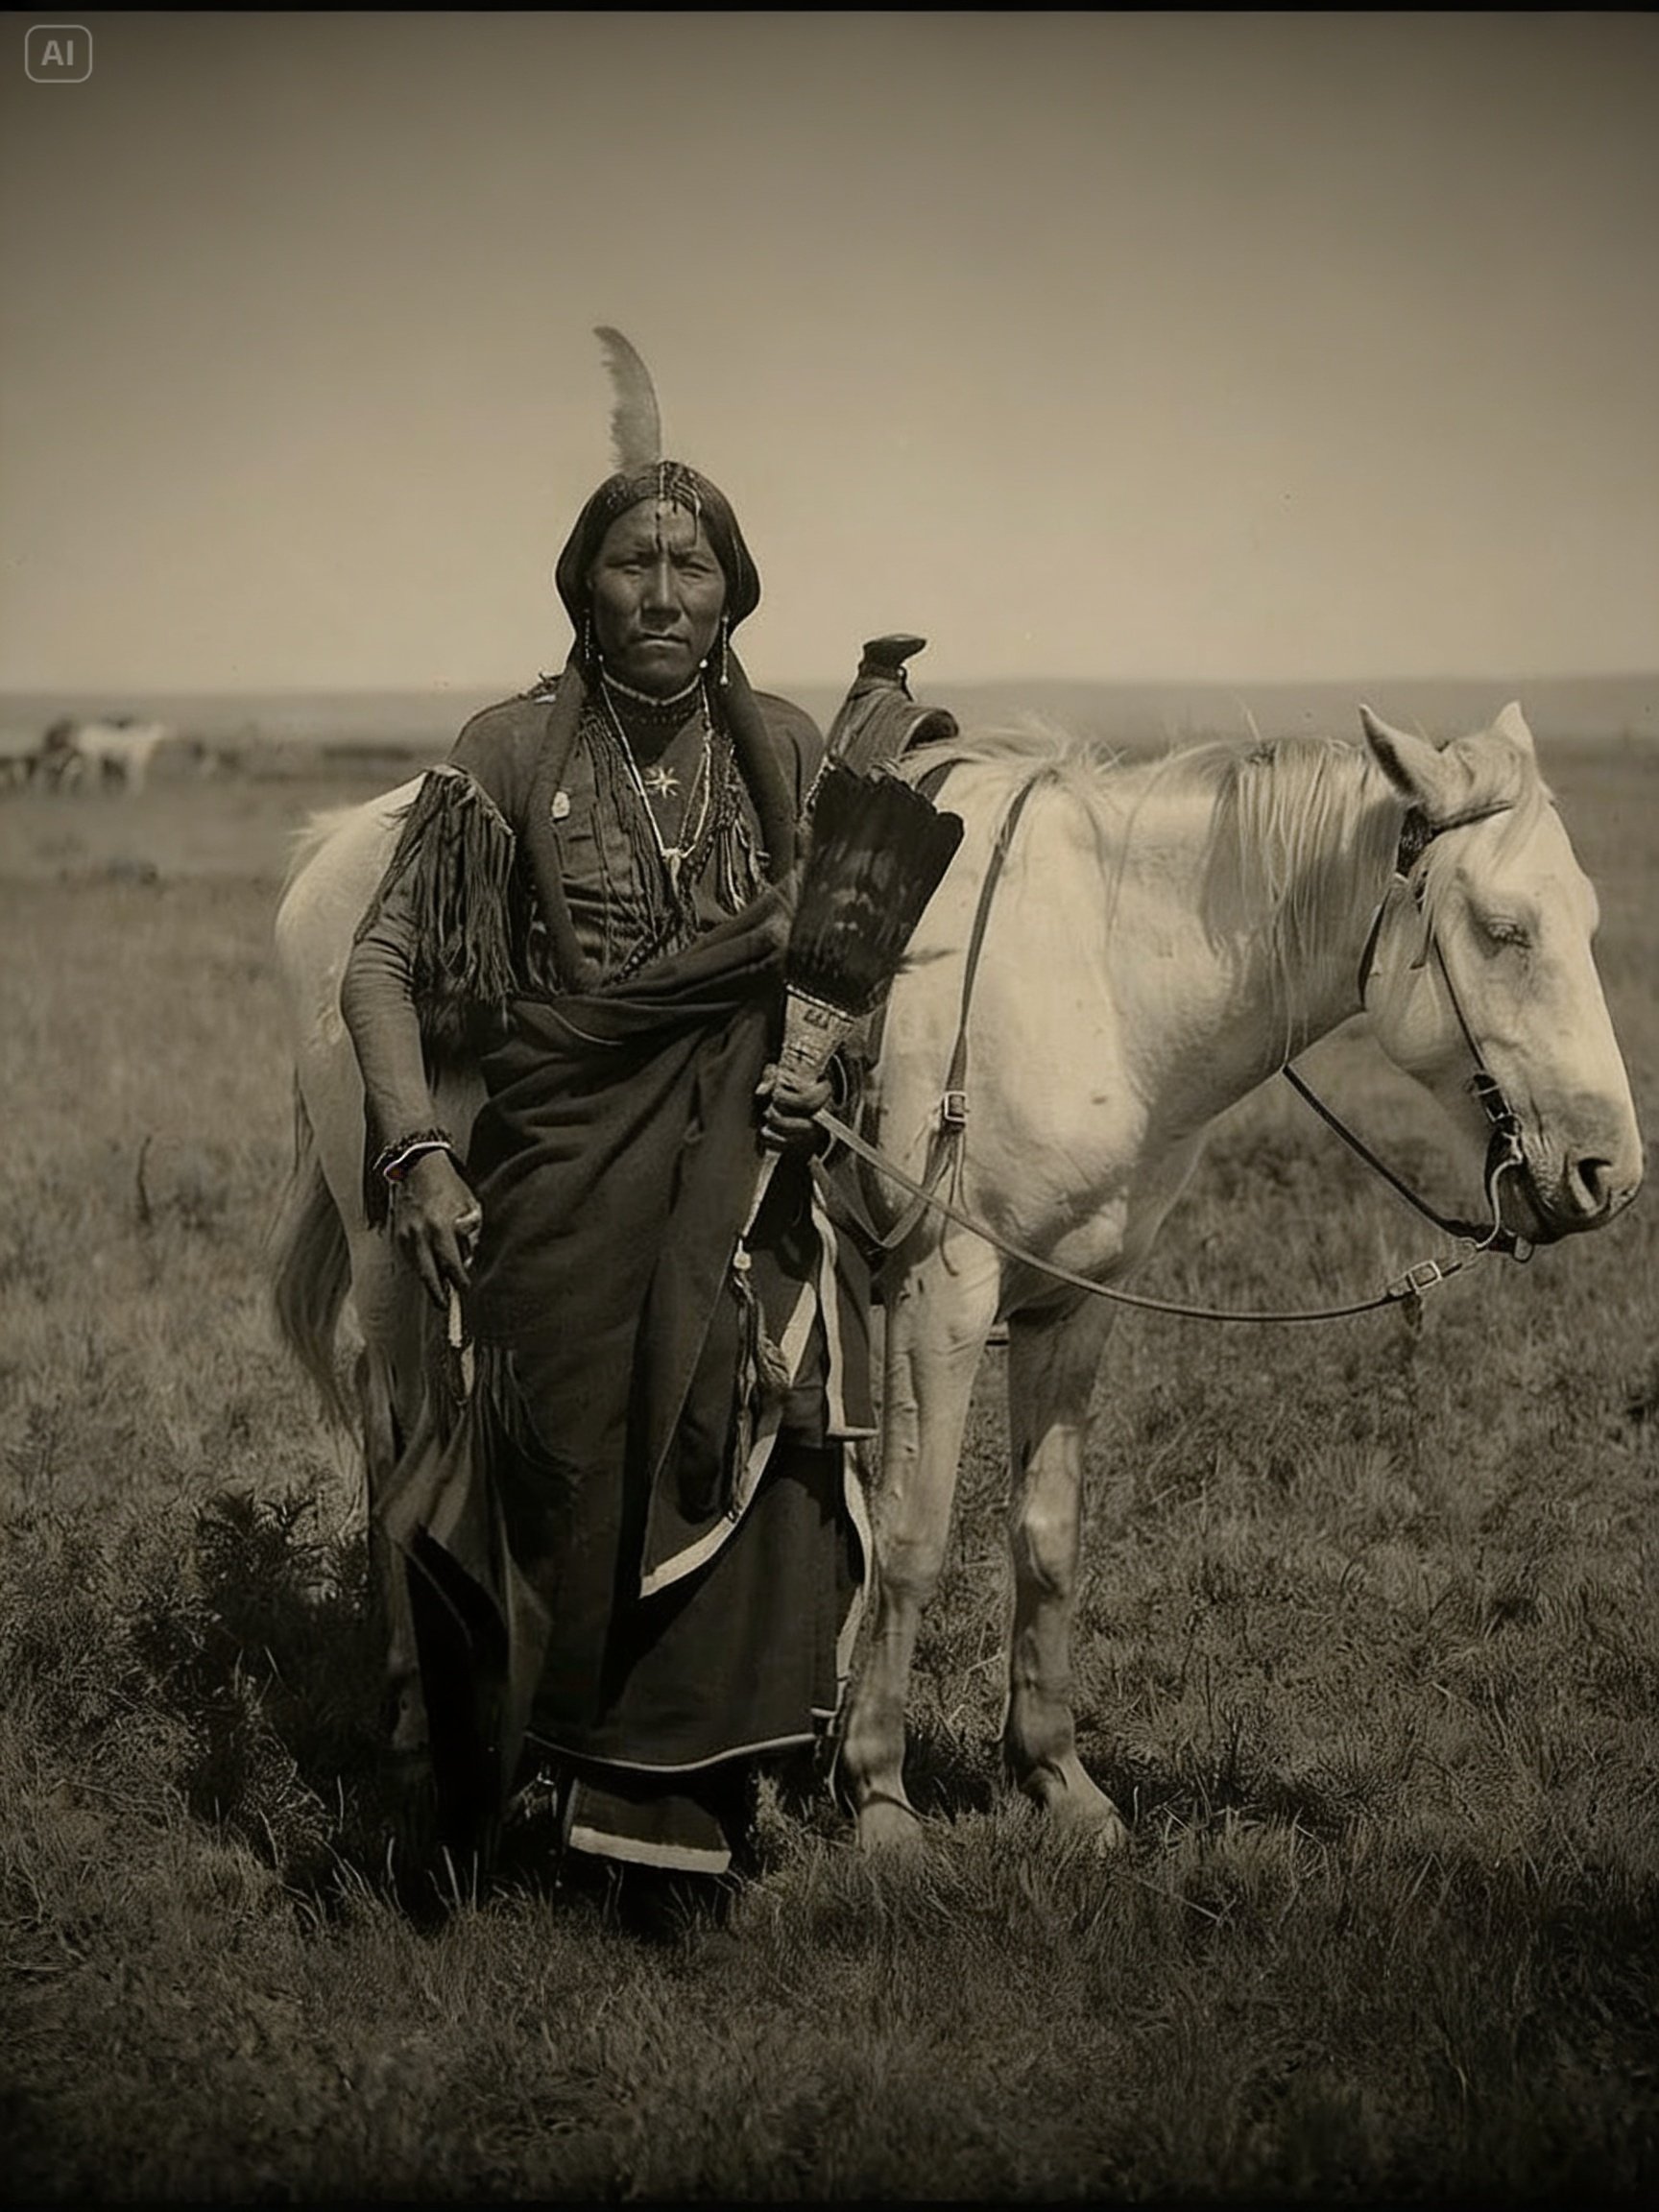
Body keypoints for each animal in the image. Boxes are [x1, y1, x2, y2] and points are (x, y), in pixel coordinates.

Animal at [269, 701, 1642, 1838]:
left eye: (1587, 919)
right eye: (1503, 930)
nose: (1608, 1174)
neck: (1103, 978)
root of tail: (342, 844)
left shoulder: (1076, 1304)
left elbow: (1048, 1534)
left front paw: (1056, 1780)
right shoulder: (945, 1292)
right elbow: (919, 1534)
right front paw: (876, 1792)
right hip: (400, 1247)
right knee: (403, 1444)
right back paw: (419, 1712)